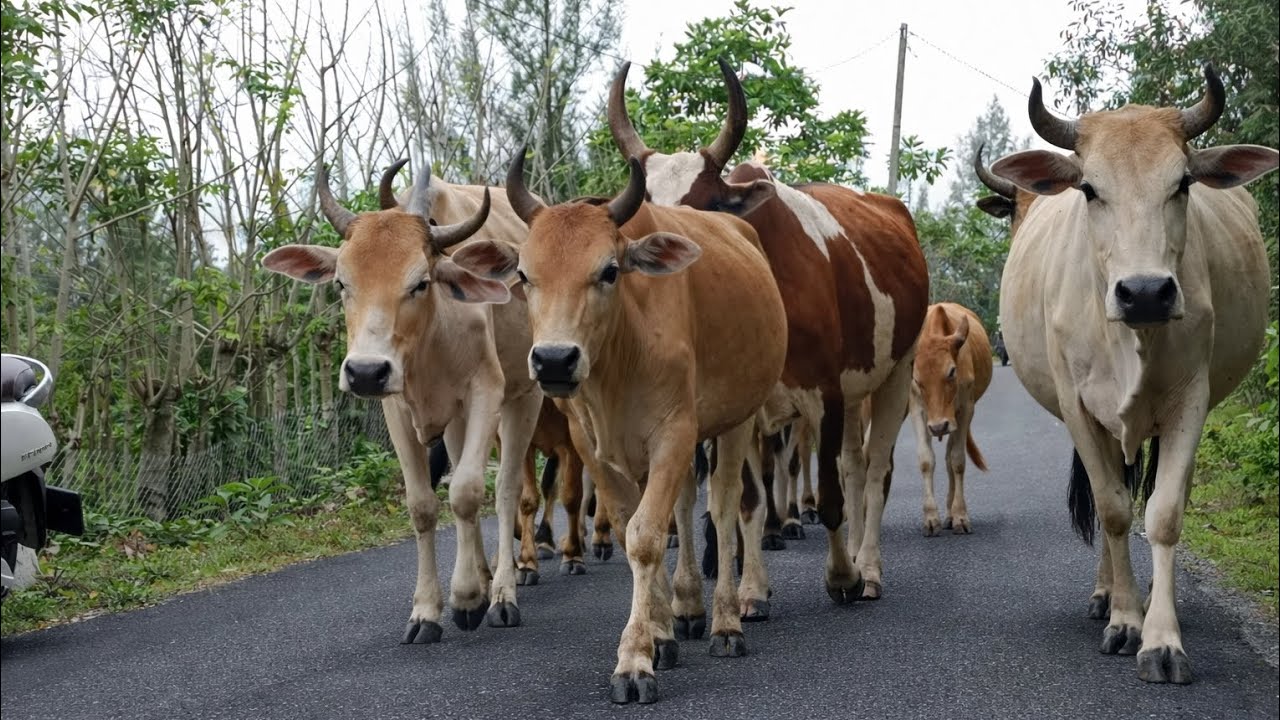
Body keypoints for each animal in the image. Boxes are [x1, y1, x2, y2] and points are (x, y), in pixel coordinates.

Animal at [261, 160, 543, 644]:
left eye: (420, 283)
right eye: (341, 283)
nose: (365, 371)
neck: (431, 337)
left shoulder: (486, 391)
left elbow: (468, 492)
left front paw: (466, 598)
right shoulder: (395, 408)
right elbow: (423, 505)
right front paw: (427, 611)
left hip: (525, 397)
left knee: (507, 490)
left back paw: (502, 591)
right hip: (456, 421)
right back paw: (483, 575)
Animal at [451, 151, 788, 704]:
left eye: (609, 271)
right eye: (524, 274)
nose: (554, 360)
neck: (621, 353)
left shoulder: (674, 433)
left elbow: (645, 537)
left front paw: (633, 661)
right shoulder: (594, 448)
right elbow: (634, 523)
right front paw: (658, 634)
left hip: (737, 420)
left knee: (723, 509)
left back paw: (725, 622)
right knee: (686, 506)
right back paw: (686, 609)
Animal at [606, 59, 929, 602]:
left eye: (708, 203)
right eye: (641, 207)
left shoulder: (826, 394)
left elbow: (830, 497)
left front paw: (841, 576)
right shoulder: (745, 409)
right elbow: (747, 501)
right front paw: (752, 590)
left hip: (896, 375)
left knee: (875, 471)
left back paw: (867, 567)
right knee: (854, 464)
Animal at [908, 303, 992, 536]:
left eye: (952, 371)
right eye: (917, 379)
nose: (938, 427)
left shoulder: (965, 410)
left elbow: (957, 460)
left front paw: (960, 516)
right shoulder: (918, 410)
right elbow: (926, 460)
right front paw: (930, 518)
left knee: (949, 458)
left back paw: (951, 513)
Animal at [992, 65, 1277, 684]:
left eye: (1183, 184)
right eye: (1089, 189)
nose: (1145, 292)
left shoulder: (1191, 400)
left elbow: (1163, 514)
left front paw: (1161, 639)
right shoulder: (1078, 408)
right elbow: (1115, 510)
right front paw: (1124, 620)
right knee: (1113, 498)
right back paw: (1109, 596)